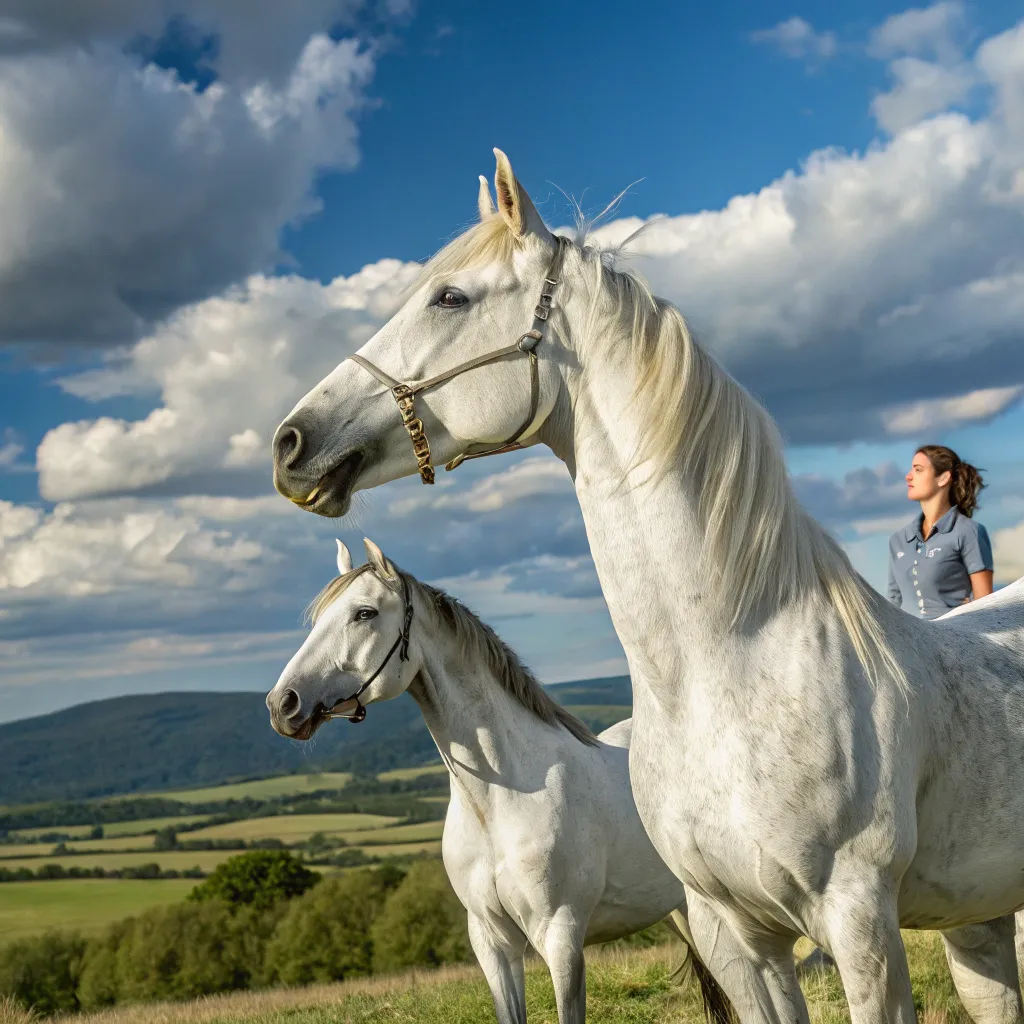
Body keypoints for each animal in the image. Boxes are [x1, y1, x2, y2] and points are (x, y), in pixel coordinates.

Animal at [264, 536, 737, 1024]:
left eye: (364, 613)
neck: (500, 800)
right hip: (684, 910)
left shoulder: (561, 939)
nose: (283, 704)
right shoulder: (493, 944)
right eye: (318, 619)